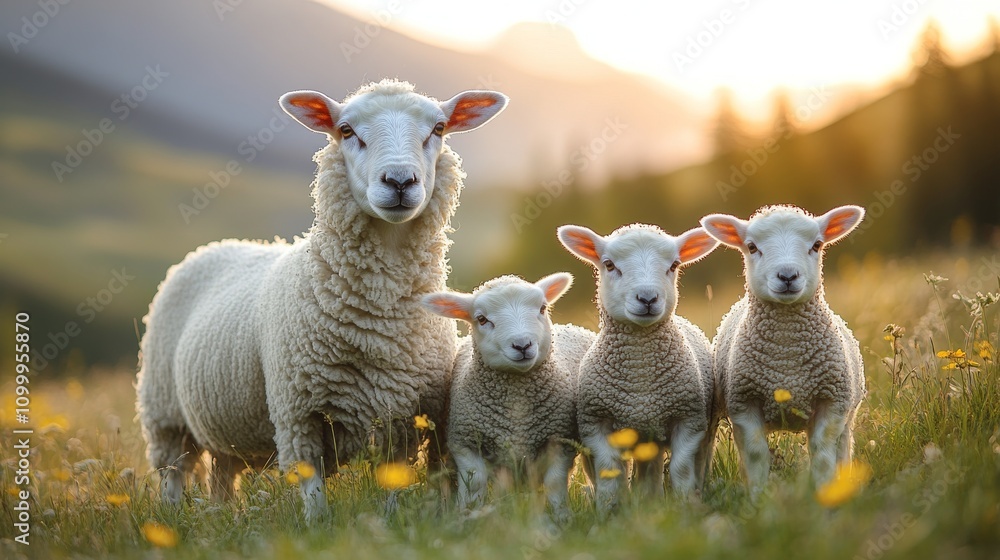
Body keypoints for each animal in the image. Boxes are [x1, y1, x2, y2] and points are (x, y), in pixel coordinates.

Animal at [136, 79, 508, 520]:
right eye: (346, 130)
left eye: (438, 128)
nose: (400, 181)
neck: (379, 321)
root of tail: (212, 247)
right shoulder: (298, 416)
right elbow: (313, 492)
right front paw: (316, 525)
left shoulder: (403, 414)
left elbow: (393, 487)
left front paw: (389, 521)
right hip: (164, 414)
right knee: (172, 473)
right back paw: (171, 516)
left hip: (225, 426)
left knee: (222, 475)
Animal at [421, 273, 596, 522]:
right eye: (482, 319)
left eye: (542, 308)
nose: (522, 345)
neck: (516, 407)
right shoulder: (464, 442)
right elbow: (475, 483)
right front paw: (466, 515)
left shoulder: (560, 440)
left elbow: (554, 483)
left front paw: (561, 516)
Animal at [557, 223, 719, 515]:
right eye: (609, 265)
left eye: (674, 265)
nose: (647, 298)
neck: (640, 376)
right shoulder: (595, 424)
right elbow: (609, 473)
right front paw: (609, 512)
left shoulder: (689, 420)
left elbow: (681, 469)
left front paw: (684, 506)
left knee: (699, 460)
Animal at [700, 204, 866, 495]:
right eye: (752, 247)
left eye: (817, 245)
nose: (787, 276)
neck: (785, 359)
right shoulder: (743, 402)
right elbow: (756, 454)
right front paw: (758, 495)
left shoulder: (832, 401)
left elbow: (822, 453)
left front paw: (823, 491)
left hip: (849, 413)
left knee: (844, 447)